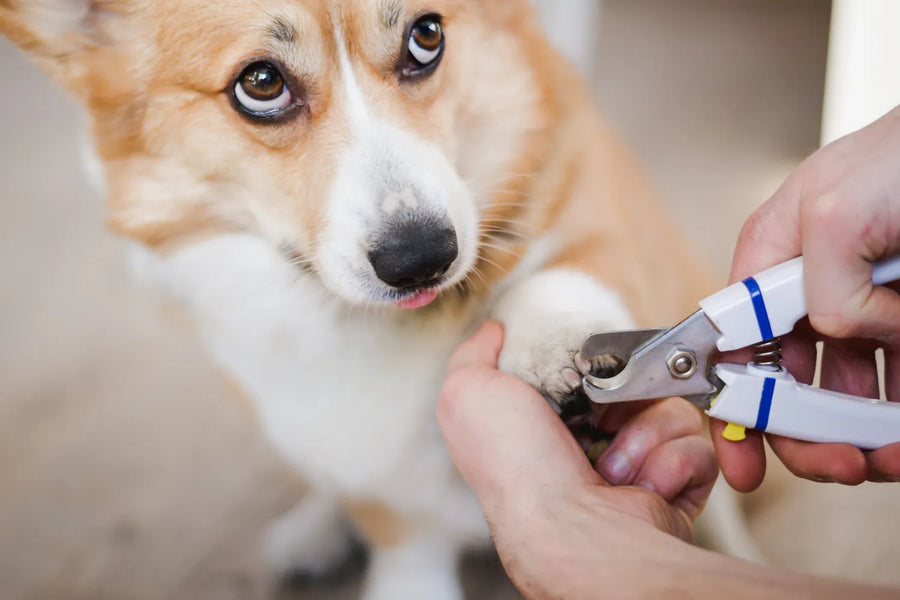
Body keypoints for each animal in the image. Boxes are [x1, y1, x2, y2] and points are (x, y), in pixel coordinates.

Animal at [1, 0, 724, 596]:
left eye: (427, 36)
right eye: (260, 83)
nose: (423, 258)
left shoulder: (591, 207)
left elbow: (561, 271)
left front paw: (553, 341)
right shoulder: (378, 483)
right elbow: (401, 546)